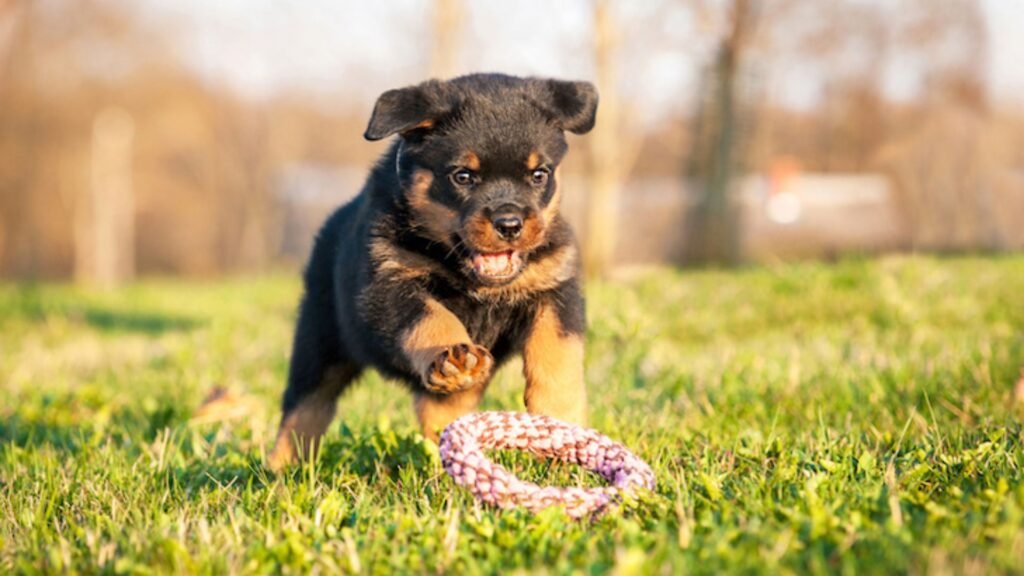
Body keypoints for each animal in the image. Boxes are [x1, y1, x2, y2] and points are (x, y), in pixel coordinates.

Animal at [268, 72, 598, 467]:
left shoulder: (555, 286)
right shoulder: (388, 283)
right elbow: (429, 317)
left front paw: (561, 420)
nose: (510, 224)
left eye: (538, 174)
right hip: (319, 340)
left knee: (443, 409)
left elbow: (558, 351)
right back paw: (282, 468)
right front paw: (453, 354)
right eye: (463, 176)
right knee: (306, 405)